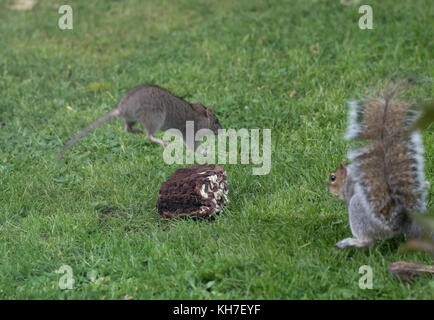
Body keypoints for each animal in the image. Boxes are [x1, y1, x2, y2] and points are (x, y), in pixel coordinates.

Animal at [56, 85, 222, 162]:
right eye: (216, 121)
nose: (221, 130)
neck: (199, 114)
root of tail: (121, 108)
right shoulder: (189, 133)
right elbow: (193, 146)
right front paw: (206, 152)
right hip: (156, 118)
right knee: (149, 136)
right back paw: (163, 143)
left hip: (133, 119)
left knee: (127, 128)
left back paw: (137, 131)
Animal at [328, 84, 428, 249]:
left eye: (333, 178)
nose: (328, 189)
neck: (349, 175)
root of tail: (397, 225)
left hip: (357, 209)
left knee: (367, 241)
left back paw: (350, 242)